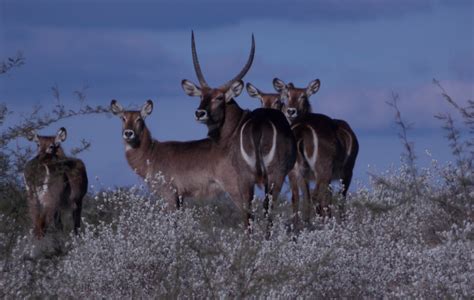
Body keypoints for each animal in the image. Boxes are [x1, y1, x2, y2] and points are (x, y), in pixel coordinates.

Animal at [262, 78, 358, 221]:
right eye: (287, 95)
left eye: (303, 96)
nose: (291, 111)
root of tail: (302, 128)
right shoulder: (346, 172)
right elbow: (335, 200)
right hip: (324, 170)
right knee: (318, 197)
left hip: (298, 171)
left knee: (298, 198)